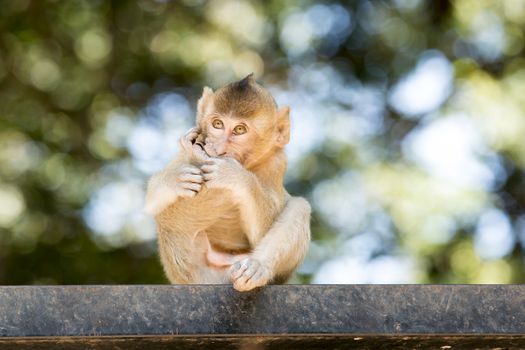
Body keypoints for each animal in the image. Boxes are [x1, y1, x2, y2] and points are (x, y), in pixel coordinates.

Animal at [144, 74, 312, 292]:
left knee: (301, 206)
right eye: (217, 124)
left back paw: (256, 268)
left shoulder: (276, 163)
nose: (219, 148)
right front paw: (175, 179)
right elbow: (151, 202)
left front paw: (235, 175)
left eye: (240, 129)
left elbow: (263, 229)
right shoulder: (183, 153)